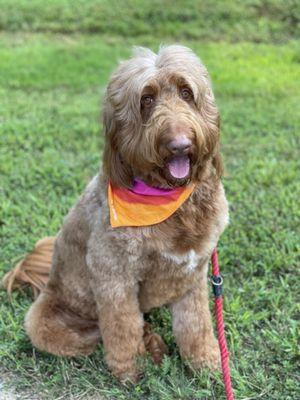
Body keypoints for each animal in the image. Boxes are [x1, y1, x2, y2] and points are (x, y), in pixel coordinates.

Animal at [24, 44, 229, 382]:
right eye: (146, 99)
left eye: (187, 93)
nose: (180, 144)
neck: (168, 200)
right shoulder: (113, 274)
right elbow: (122, 327)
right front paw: (130, 371)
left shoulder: (194, 272)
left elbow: (196, 323)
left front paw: (207, 364)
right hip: (43, 324)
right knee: (99, 332)